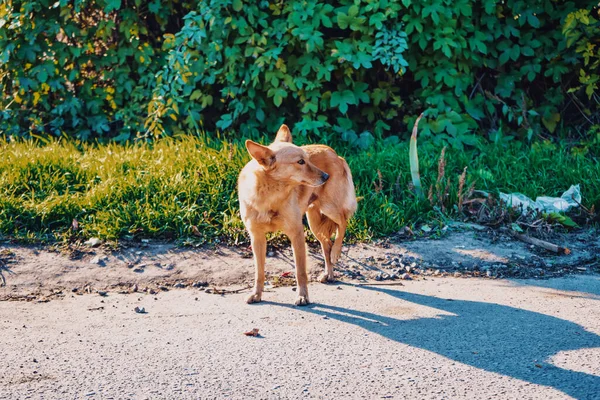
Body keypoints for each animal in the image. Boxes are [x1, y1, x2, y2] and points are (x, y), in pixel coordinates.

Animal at [238, 123, 356, 304]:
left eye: (308, 159)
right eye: (300, 162)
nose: (326, 176)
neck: (270, 196)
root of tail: (334, 153)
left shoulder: (296, 234)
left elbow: (300, 272)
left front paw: (302, 296)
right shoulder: (257, 238)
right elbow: (259, 272)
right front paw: (256, 294)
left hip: (329, 208)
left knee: (342, 222)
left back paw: (336, 252)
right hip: (314, 222)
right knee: (326, 245)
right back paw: (328, 273)